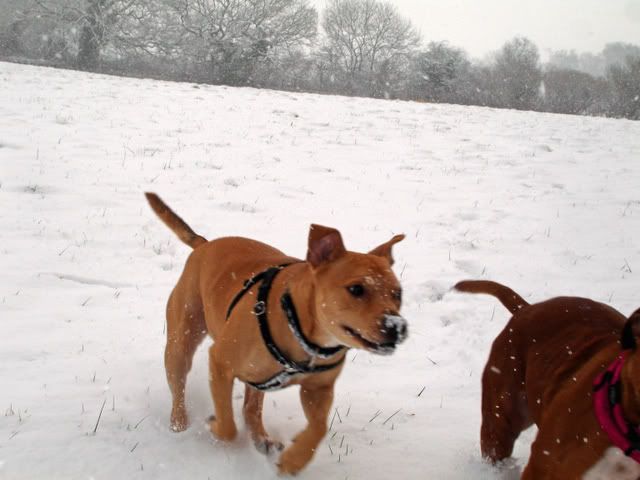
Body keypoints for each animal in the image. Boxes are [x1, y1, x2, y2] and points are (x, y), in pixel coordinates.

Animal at [144, 193, 404, 474]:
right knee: (179, 384)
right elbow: (227, 425)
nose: (397, 326)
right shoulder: (220, 362)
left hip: (256, 376)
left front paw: (294, 460)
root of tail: (204, 244)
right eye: (356, 289)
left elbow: (319, 428)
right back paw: (179, 423)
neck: (305, 334)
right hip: (181, 341)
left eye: (398, 294)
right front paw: (214, 426)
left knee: (251, 408)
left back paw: (262, 439)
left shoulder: (319, 388)